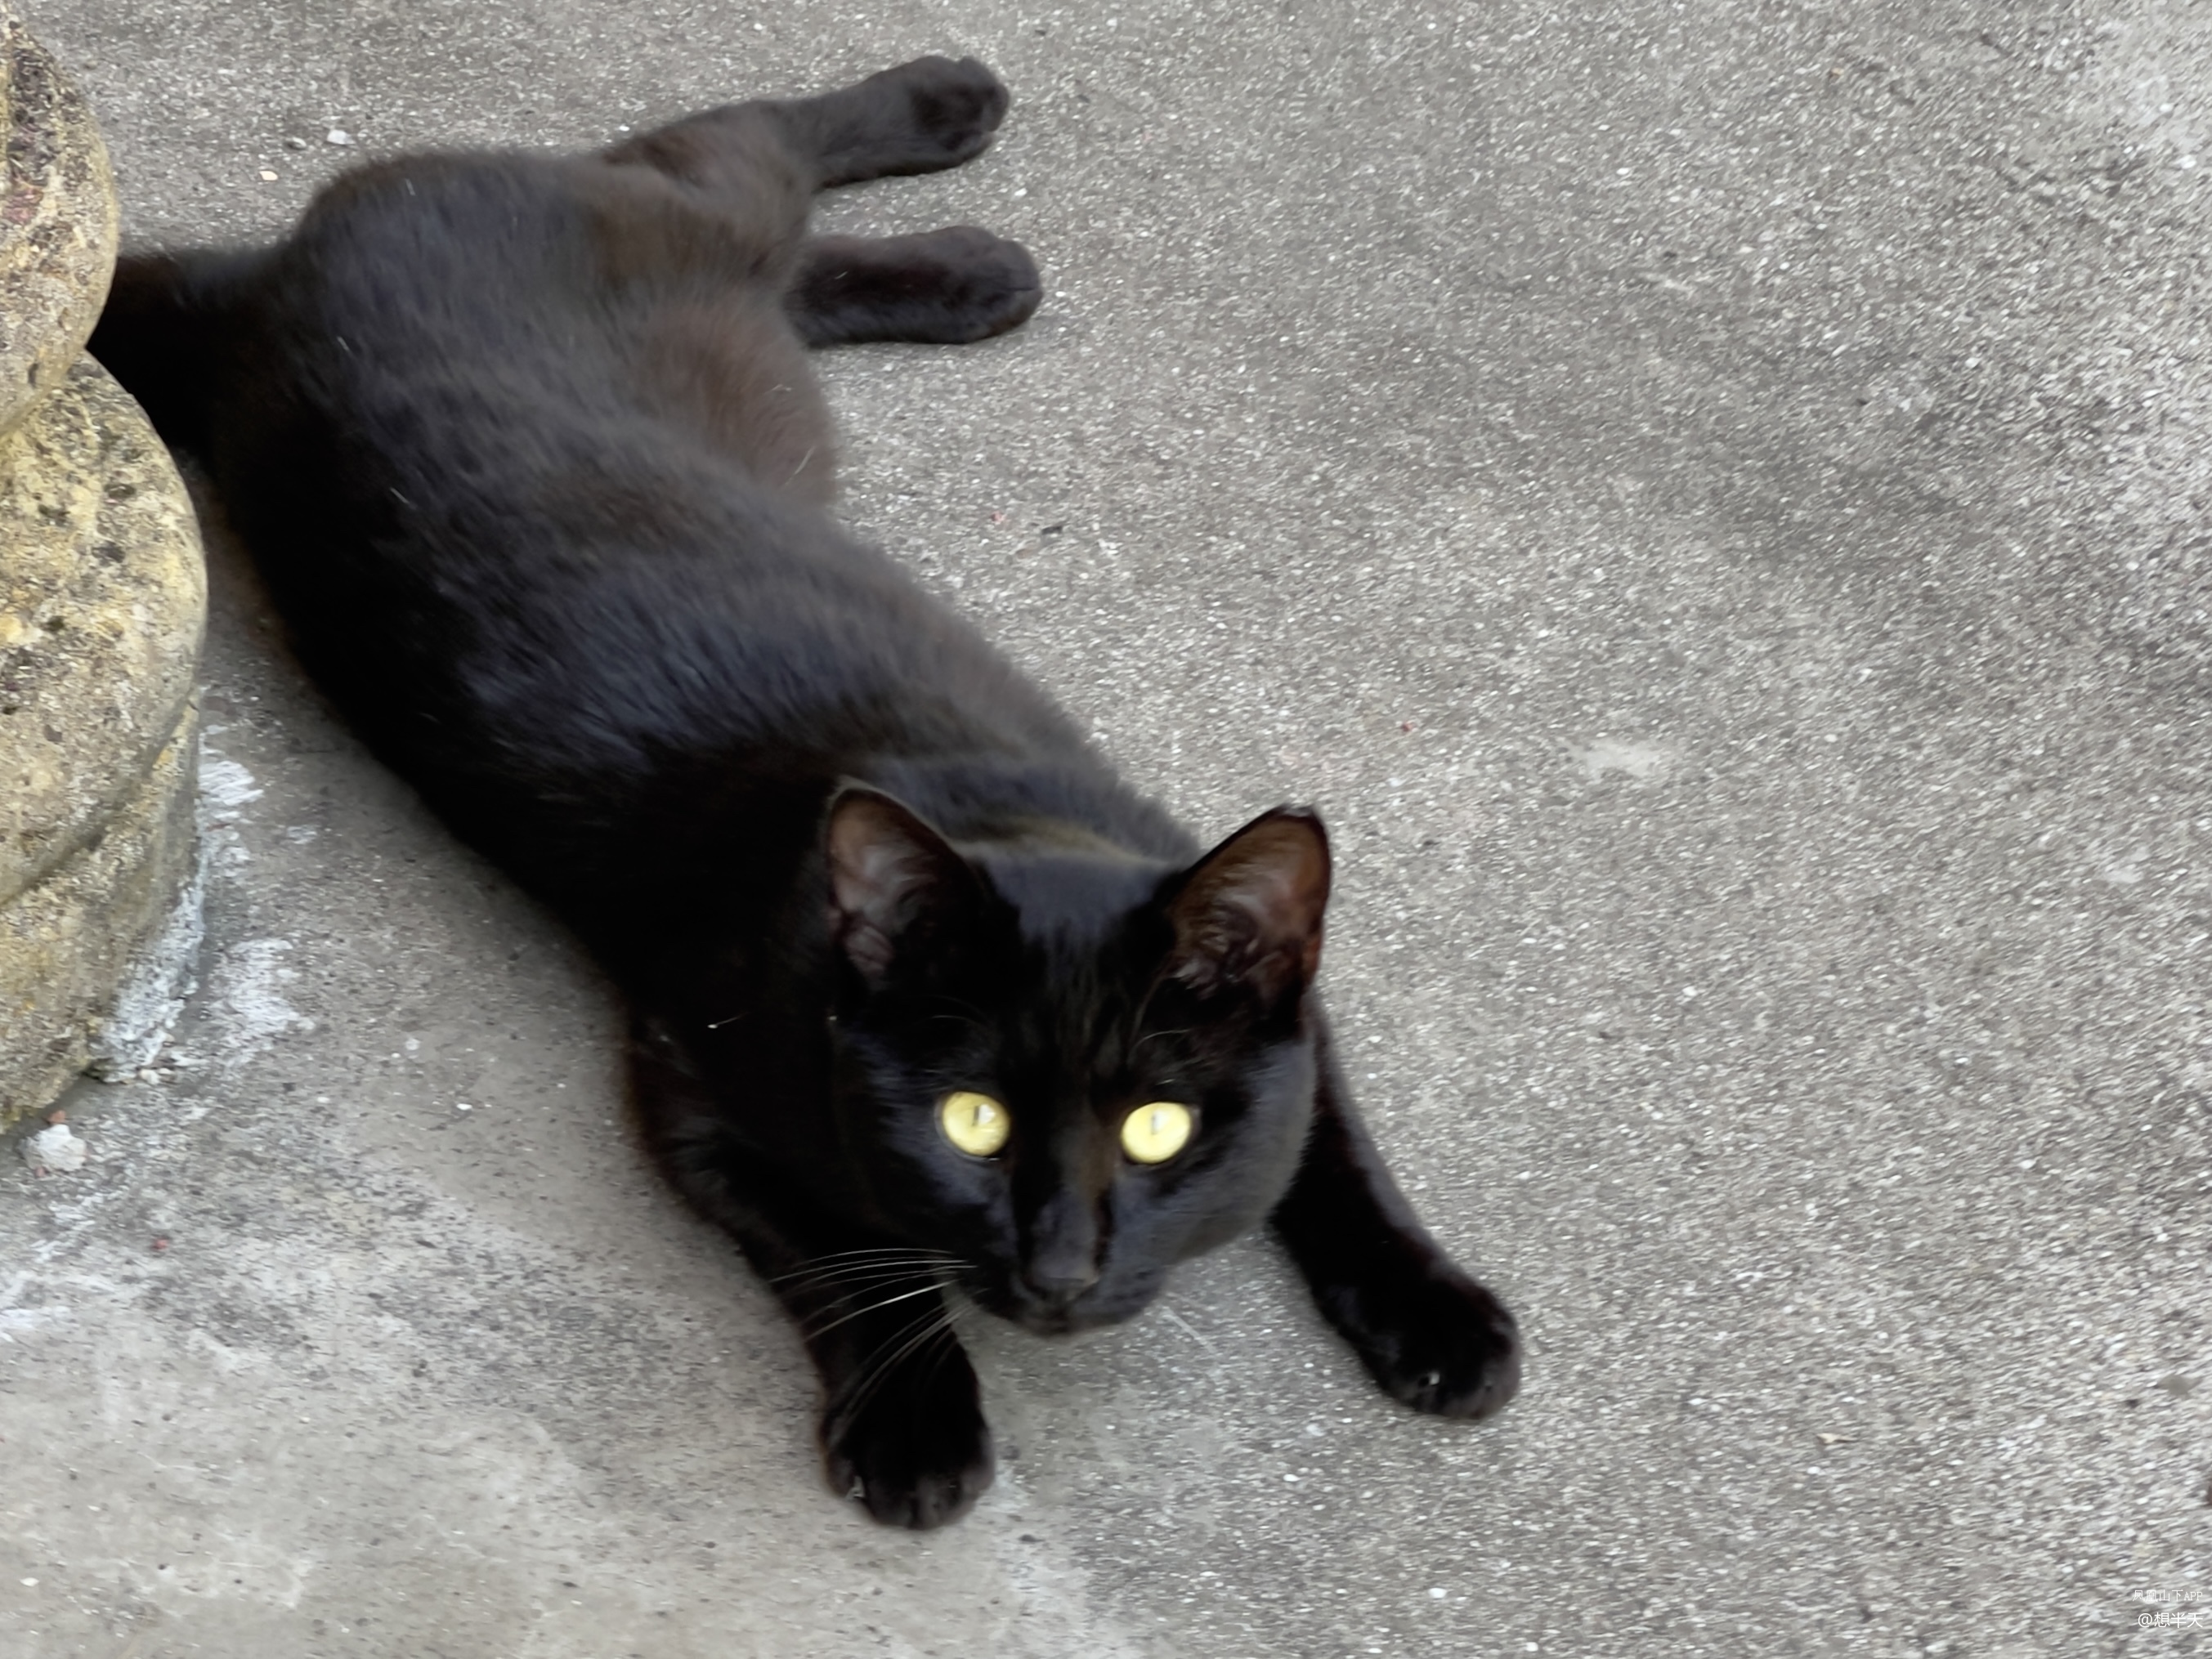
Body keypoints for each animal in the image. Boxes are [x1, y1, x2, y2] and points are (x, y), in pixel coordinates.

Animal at [90, 56, 1520, 1529]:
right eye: (971, 1122)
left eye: (1159, 1128)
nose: (1059, 1268)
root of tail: (281, 272)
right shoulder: (697, 1094)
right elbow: (845, 1255)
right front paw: (917, 1421)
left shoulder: (1279, 985)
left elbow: (1337, 1157)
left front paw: (1438, 1315)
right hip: (689, 219)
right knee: (739, 151)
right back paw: (953, 136)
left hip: (704, 255)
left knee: (766, 220)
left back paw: (978, 255)